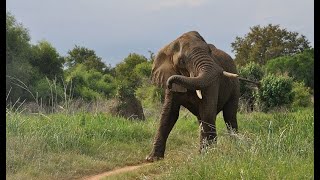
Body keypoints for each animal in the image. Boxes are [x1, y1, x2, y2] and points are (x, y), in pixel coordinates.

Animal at [146, 31, 254, 162]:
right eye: (181, 61)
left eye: (209, 51)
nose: (169, 83)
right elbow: (168, 114)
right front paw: (152, 158)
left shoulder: (213, 82)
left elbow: (207, 110)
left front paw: (207, 154)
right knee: (202, 119)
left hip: (235, 87)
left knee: (229, 115)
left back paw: (234, 144)